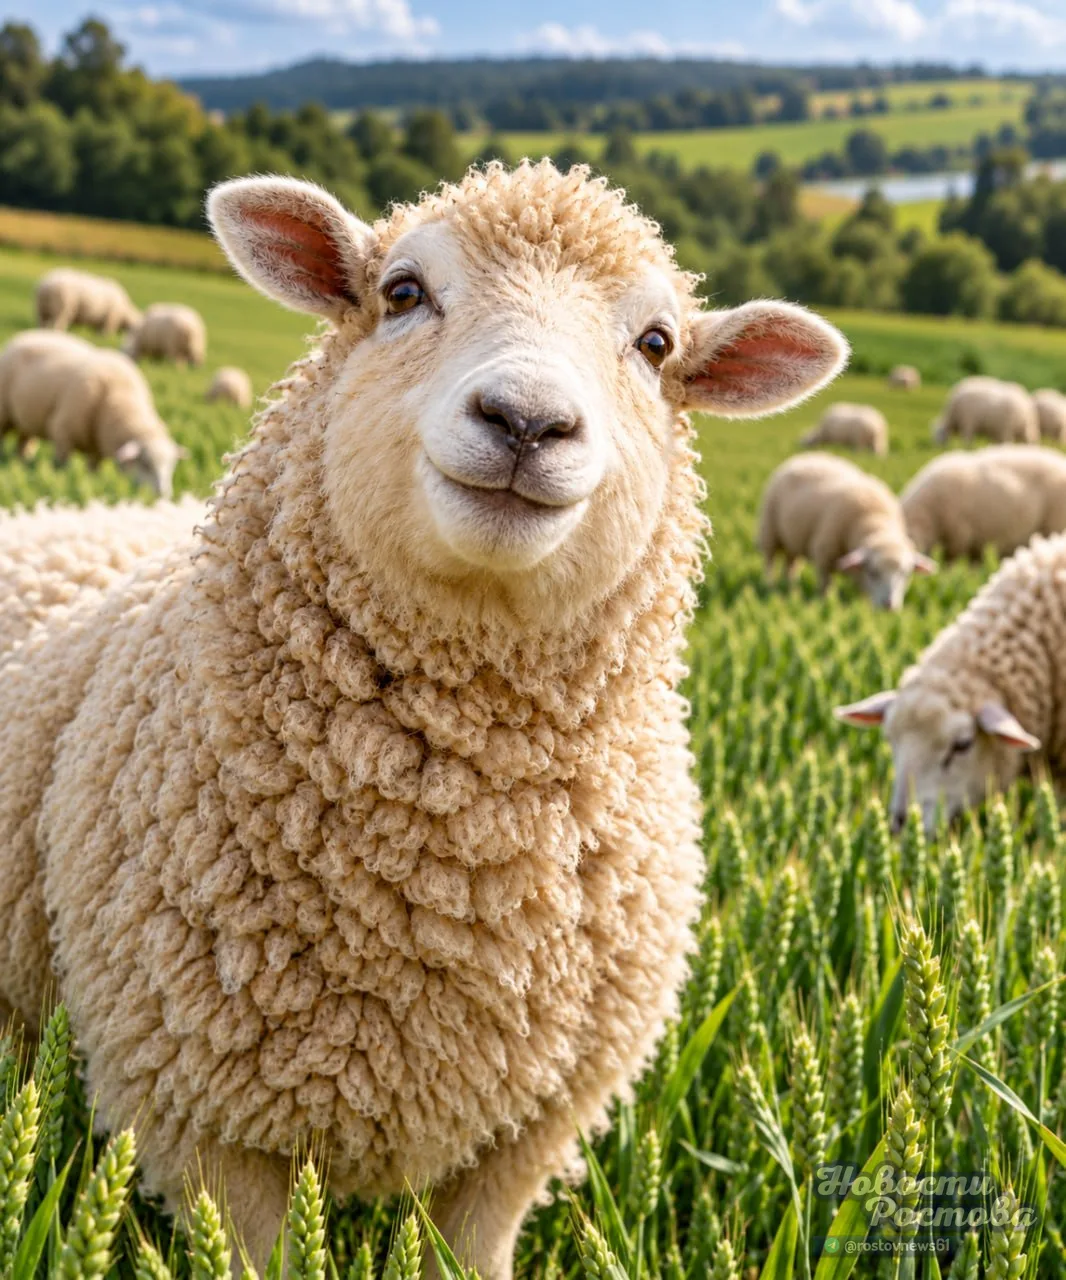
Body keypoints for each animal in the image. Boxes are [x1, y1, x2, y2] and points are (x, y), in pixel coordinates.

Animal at [0, 330, 187, 499]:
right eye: (146, 464)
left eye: (172, 466)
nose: (164, 495)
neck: (116, 399)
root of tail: (21, 337)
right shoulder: (63, 432)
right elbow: (62, 465)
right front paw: (62, 480)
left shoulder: (96, 447)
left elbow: (93, 469)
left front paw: (93, 482)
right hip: (4, 413)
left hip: (25, 418)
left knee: (23, 441)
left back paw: (23, 461)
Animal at [758, 452, 934, 609]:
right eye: (873, 572)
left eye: (906, 574)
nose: (889, 606)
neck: (874, 520)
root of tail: (803, 457)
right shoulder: (824, 556)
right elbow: (826, 585)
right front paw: (827, 602)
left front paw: (862, 607)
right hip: (769, 529)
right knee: (769, 560)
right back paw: (770, 584)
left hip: (793, 538)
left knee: (791, 562)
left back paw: (789, 583)